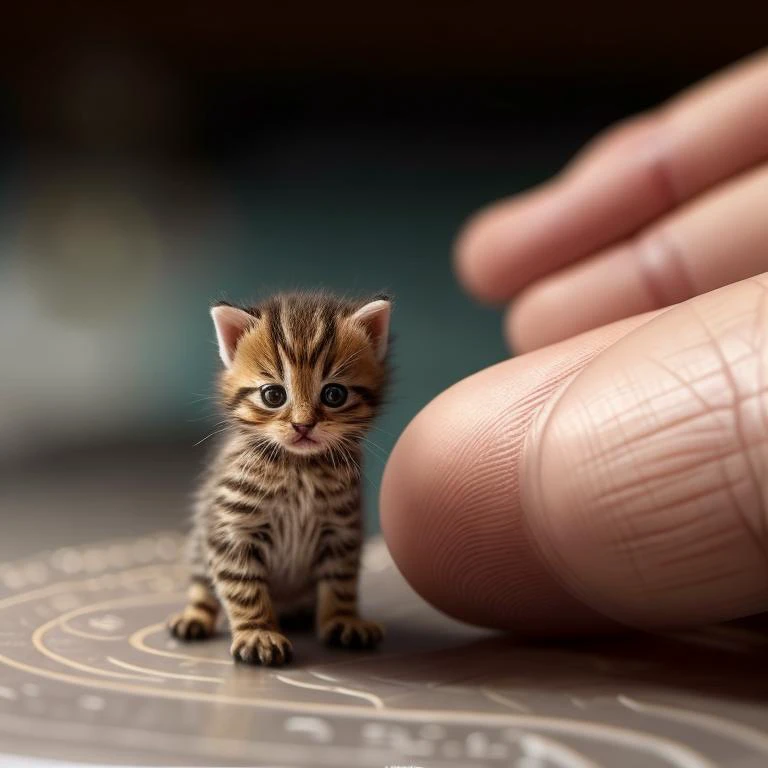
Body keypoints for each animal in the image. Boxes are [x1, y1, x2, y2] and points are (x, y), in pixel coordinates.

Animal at [165, 292, 388, 664]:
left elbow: (340, 581)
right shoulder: (232, 529)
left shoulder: (342, 530)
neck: (299, 468)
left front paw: (342, 619)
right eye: (273, 395)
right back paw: (194, 615)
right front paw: (258, 633)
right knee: (201, 586)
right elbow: (243, 587)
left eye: (334, 395)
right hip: (199, 541)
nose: (302, 425)